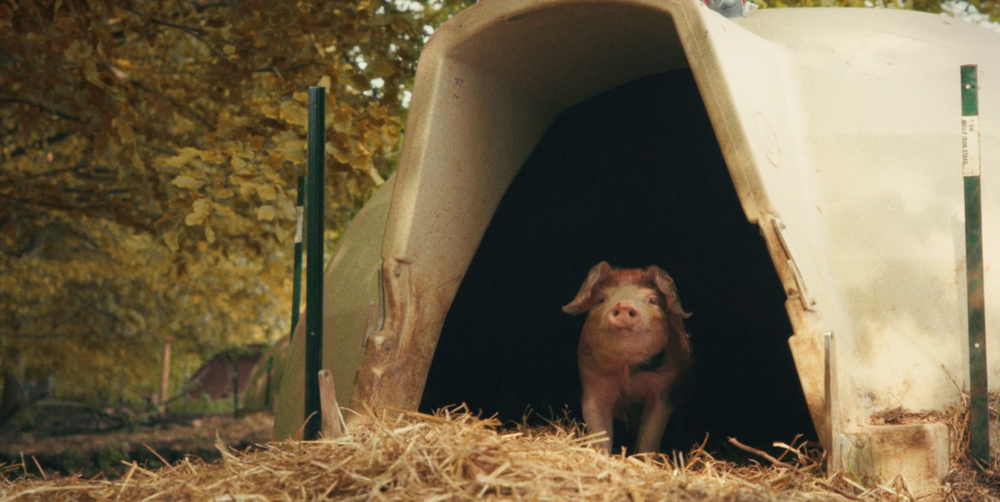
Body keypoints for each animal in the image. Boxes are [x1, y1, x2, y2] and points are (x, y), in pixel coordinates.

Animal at [563, 261, 692, 454]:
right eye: (600, 300)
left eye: (653, 300)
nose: (623, 305)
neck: (627, 371)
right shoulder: (593, 384)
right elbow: (599, 430)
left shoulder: (664, 388)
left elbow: (650, 434)